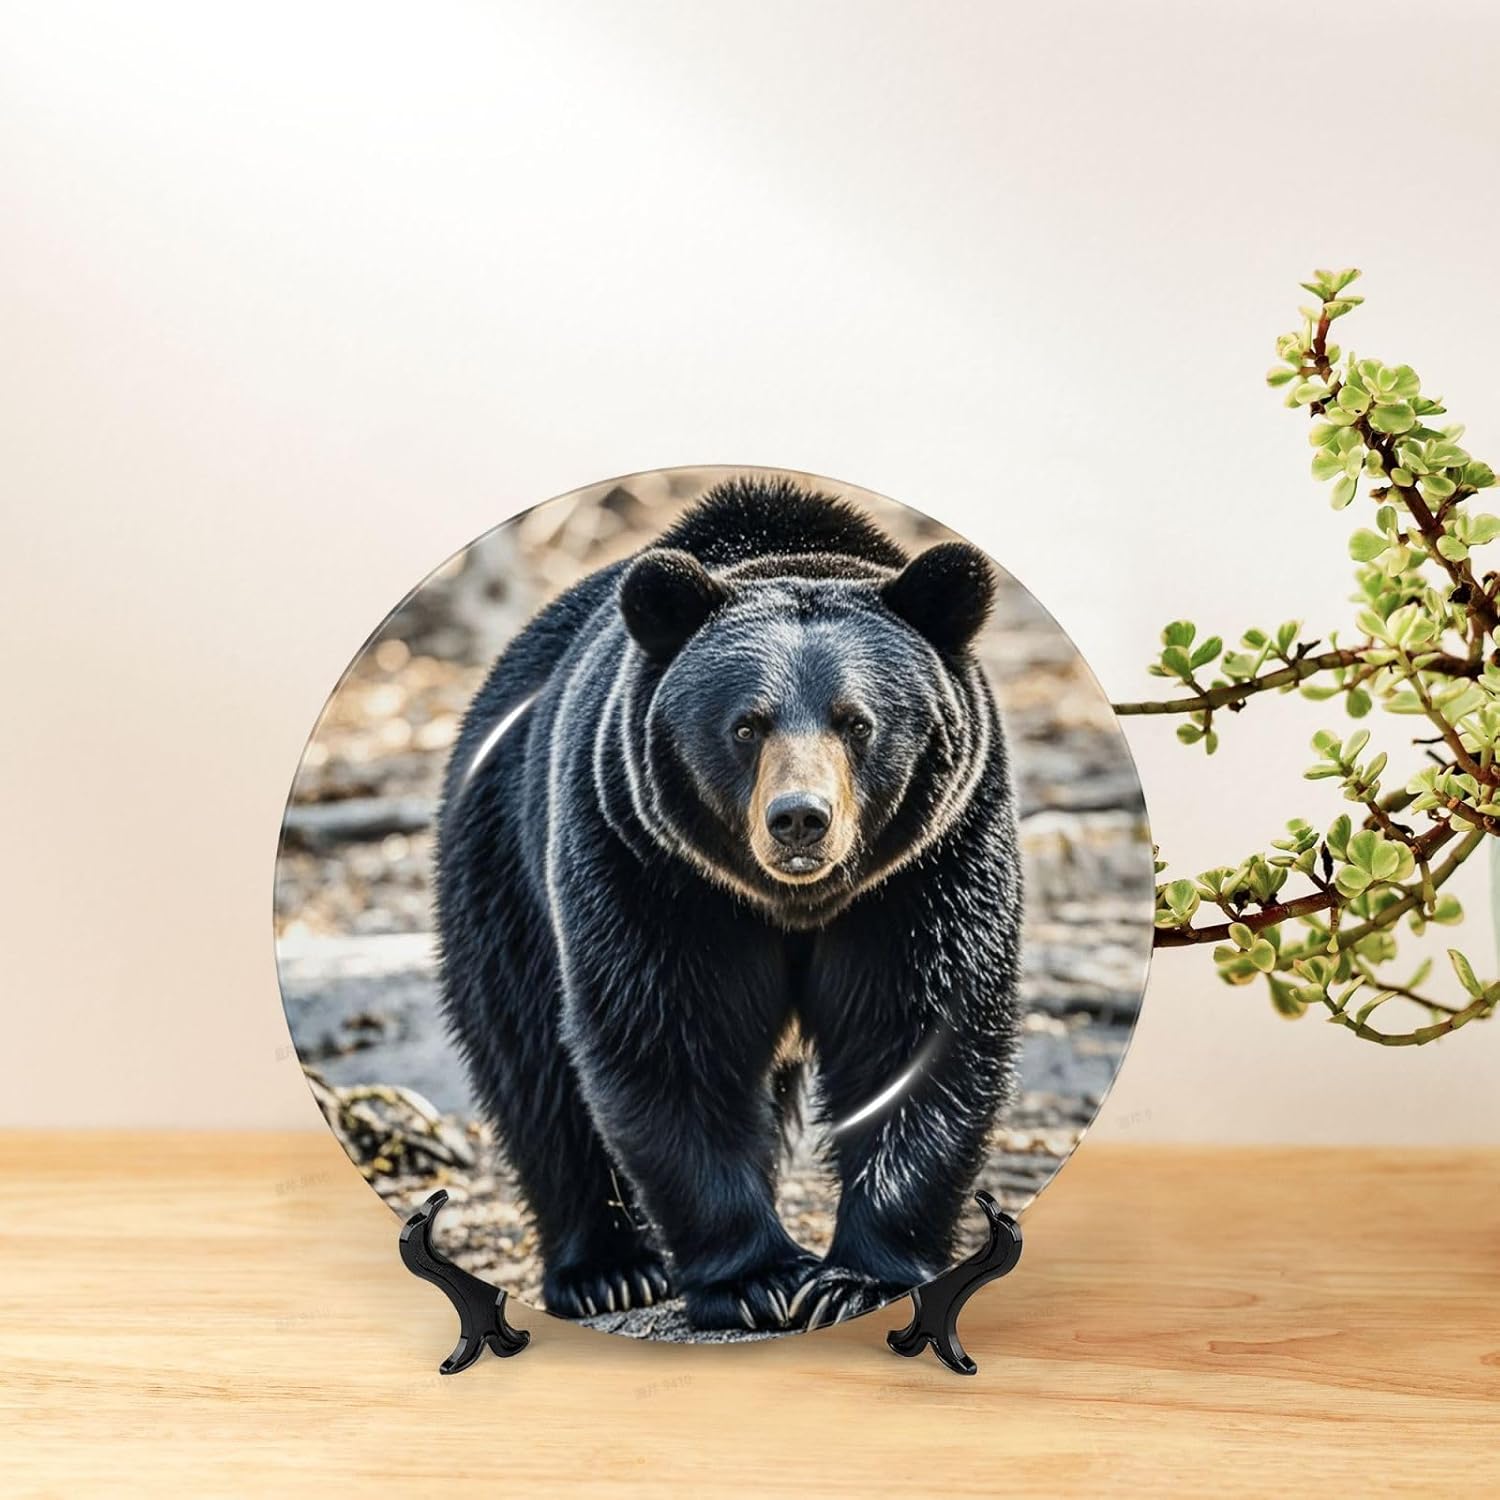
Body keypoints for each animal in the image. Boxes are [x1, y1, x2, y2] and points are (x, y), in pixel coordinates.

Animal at [434, 475, 1022, 1333]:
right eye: (747, 725)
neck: (794, 904)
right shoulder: (650, 865)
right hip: (502, 864)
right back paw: (607, 1269)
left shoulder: (930, 866)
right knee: (532, 1064)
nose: (800, 819)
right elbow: (665, 1037)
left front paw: (857, 1278)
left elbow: (917, 1035)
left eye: (857, 722)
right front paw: (759, 1278)